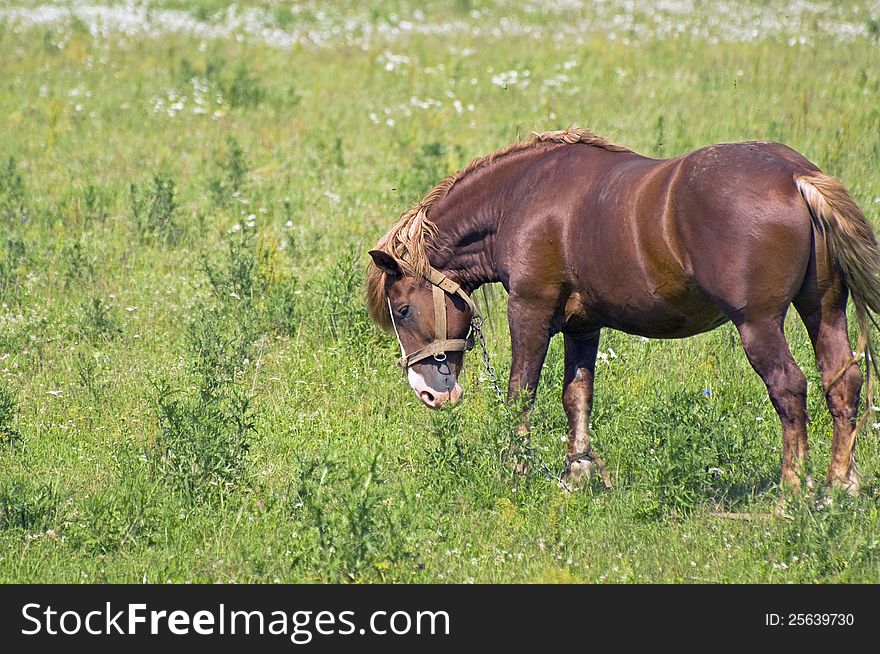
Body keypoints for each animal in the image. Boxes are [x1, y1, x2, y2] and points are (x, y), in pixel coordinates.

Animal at [366, 129, 880, 498]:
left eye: (403, 309)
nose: (429, 394)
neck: (520, 199)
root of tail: (795, 176)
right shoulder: (582, 325)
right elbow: (577, 396)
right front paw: (578, 473)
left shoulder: (530, 310)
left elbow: (520, 393)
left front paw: (516, 468)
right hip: (822, 309)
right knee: (843, 380)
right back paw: (841, 485)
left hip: (758, 323)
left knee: (789, 386)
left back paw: (793, 489)